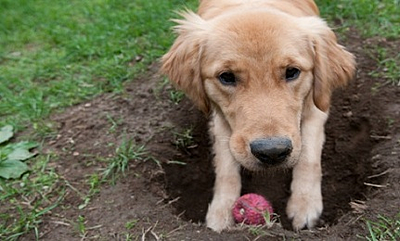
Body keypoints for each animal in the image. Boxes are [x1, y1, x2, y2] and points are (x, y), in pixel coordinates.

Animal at [161, 0, 354, 233]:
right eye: (226, 77)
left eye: (292, 72)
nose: (272, 152)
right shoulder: (220, 119)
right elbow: (226, 164)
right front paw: (221, 211)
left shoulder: (317, 105)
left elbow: (308, 155)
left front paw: (305, 204)